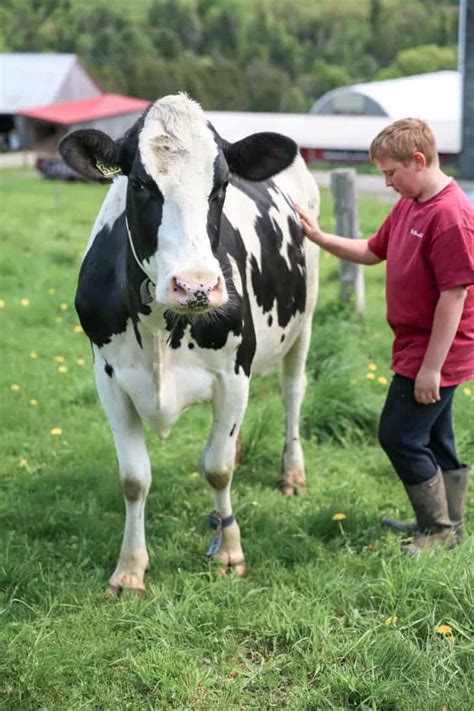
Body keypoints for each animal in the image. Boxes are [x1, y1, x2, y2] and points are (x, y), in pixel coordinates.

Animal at [59, 94, 318, 596]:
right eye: (141, 183)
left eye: (221, 185)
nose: (196, 286)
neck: (161, 325)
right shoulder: (109, 380)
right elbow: (134, 479)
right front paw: (130, 568)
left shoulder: (232, 373)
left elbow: (217, 468)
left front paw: (230, 551)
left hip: (305, 318)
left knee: (292, 393)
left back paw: (293, 473)